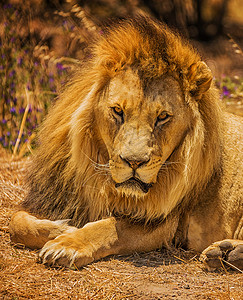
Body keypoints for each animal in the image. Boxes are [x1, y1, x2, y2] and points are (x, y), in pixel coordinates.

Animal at [9, 15, 243, 270]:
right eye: (118, 111)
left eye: (163, 117)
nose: (134, 162)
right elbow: (15, 221)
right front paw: (60, 227)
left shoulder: (162, 222)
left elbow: (109, 226)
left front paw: (66, 243)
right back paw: (225, 254)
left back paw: (227, 253)